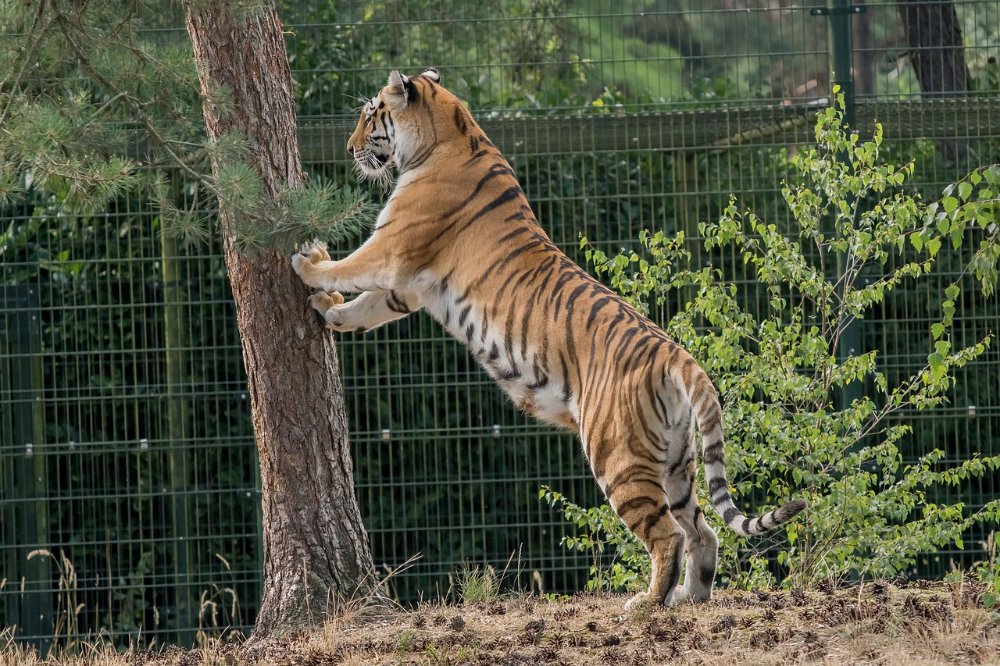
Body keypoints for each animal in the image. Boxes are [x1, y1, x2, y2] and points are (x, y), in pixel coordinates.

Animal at [292, 68, 808, 608]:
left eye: (369, 114)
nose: (349, 149)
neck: (448, 132)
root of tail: (677, 354)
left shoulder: (393, 249)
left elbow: (352, 266)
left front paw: (309, 264)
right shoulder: (408, 287)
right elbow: (366, 307)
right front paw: (330, 313)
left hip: (616, 455)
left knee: (667, 534)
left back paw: (648, 602)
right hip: (675, 461)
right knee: (703, 531)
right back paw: (692, 596)